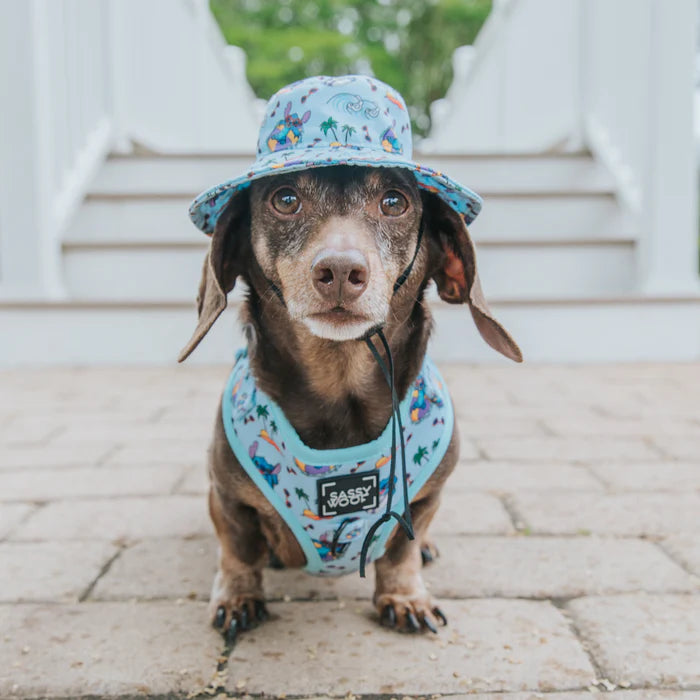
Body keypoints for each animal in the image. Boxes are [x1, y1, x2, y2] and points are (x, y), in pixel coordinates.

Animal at [179, 75, 520, 640]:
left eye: (394, 201)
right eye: (286, 198)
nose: (340, 270)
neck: (340, 384)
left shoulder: (425, 497)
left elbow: (400, 549)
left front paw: (405, 597)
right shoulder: (226, 498)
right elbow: (239, 551)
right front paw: (238, 597)